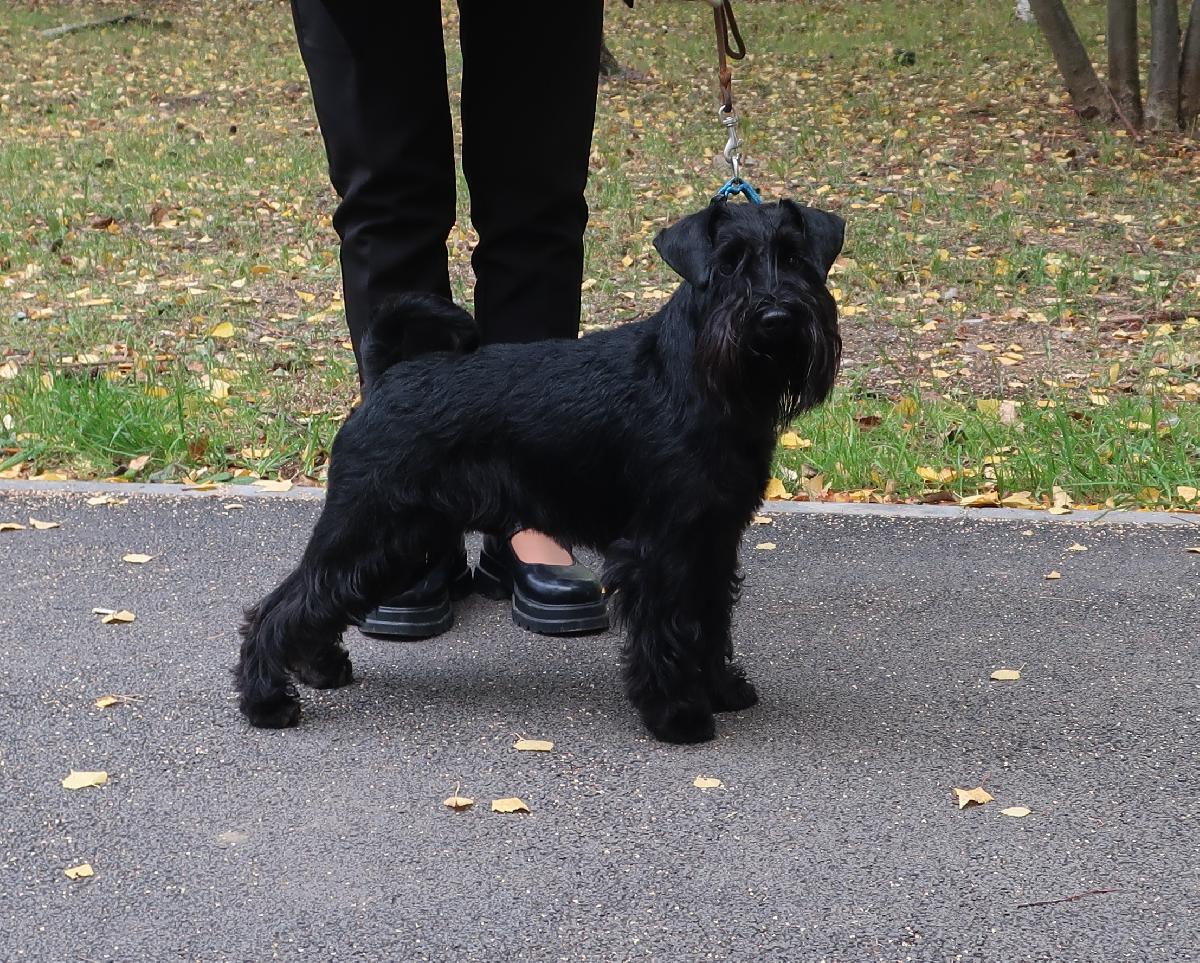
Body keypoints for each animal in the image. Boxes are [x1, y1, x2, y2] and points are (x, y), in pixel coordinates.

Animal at [235, 198, 844, 743]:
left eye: (794, 258)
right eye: (727, 263)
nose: (775, 317)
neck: (702, 379)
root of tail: (388, 375)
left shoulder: (714, 539)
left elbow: (710, 622)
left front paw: (722, 690)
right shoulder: (660, 549)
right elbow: (668, 631)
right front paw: (679, 716)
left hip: (400, 540)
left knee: (321, 596)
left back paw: (317, 667)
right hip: (370, 526)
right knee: (282, 604)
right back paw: (266, 701)